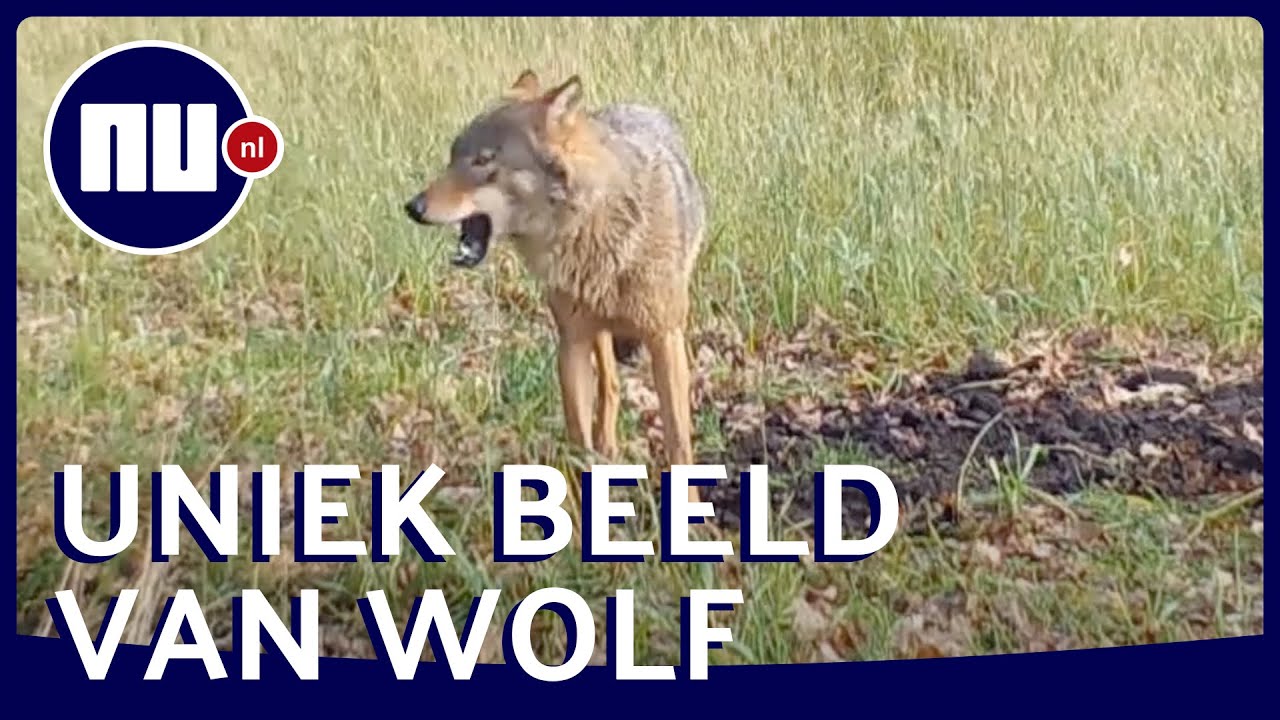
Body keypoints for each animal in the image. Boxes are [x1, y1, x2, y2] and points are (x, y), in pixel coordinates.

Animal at [404, 70, 707, 502]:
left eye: (483, 161)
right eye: (453, 156)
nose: (412, 207)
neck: (593, 226)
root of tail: (634, 105)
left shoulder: (664, 337)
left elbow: (679, 442)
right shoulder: (571, 343)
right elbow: (579, 440)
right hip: (593, 332)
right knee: (611, 386)